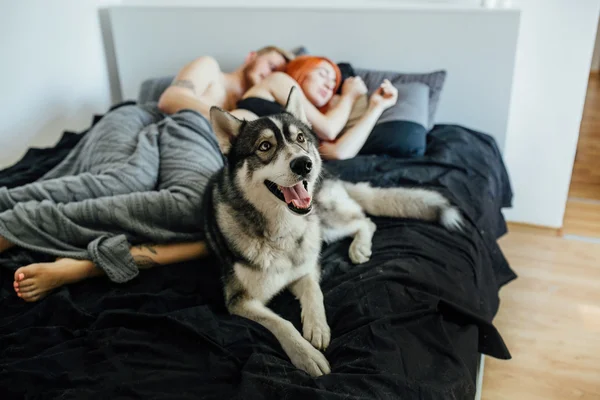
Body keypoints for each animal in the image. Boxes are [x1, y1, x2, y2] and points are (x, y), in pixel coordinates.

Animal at [206, 87, 464, 378]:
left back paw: (359, 248)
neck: (283, 232)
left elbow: (314, 291)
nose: (304, 164)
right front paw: (307, 355)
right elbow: (282, 323)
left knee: (365, 221)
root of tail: (331, 175)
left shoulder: (306, 268)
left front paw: (317, 327)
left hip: (325, 222)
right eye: (264, 146)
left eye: (300, 138)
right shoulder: (240, 301)